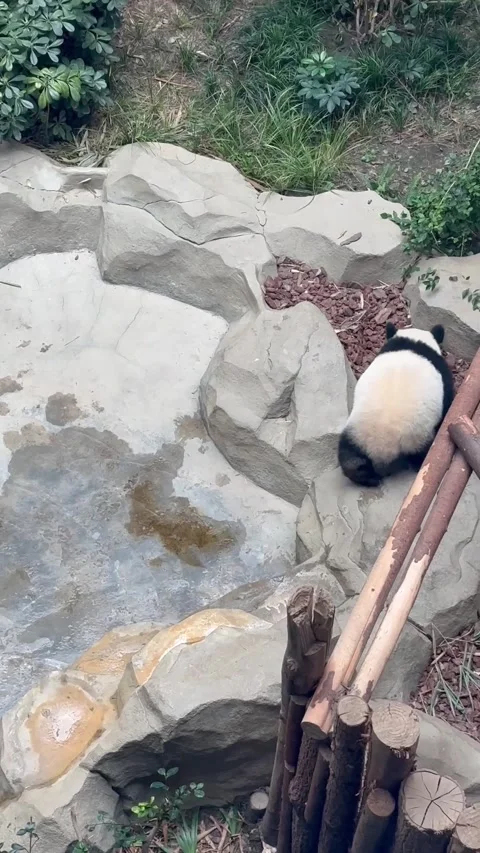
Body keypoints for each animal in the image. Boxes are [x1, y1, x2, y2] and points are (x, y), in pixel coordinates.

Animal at [338, 322, 455, 487]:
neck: (414, 341)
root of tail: (381, 446)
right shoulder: (443, 375)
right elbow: (448, 399)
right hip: (417, 436)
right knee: (421, 454)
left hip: (356, 434)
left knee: (351, 459)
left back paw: (368, 479)